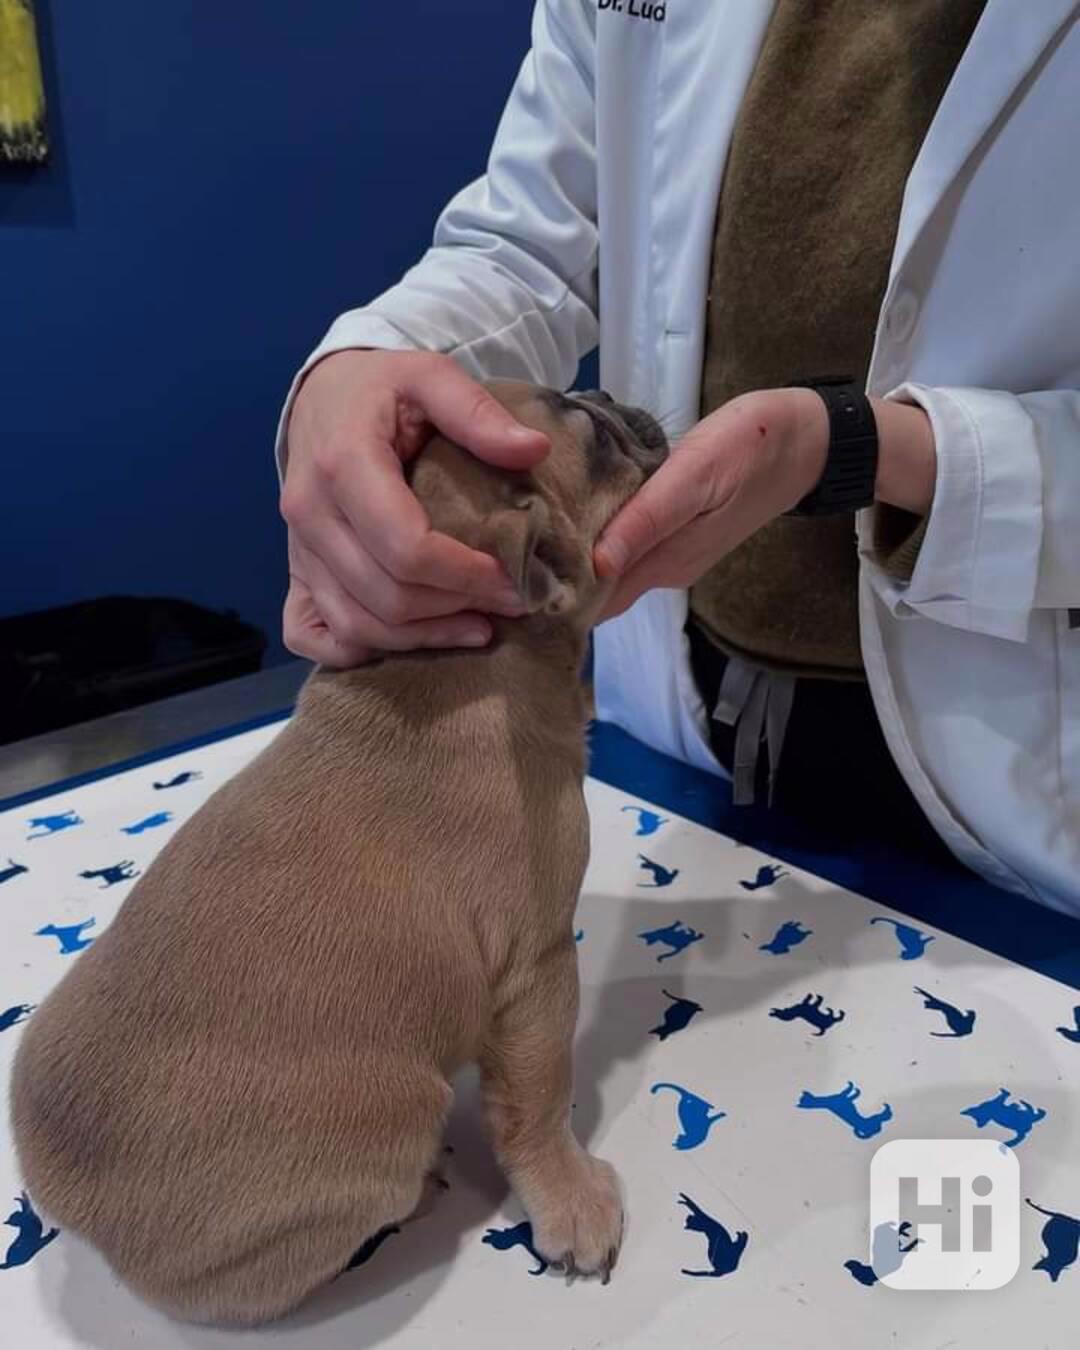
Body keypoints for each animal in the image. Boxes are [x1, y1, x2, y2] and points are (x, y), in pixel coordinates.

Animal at [10, 380, 666, 1328]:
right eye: (591, 431)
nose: (606, 389)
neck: (445, 659)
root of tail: (89, 1225)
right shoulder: (537, 967)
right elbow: (540, 1100)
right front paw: (570, 1196)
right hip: (391, 1122)